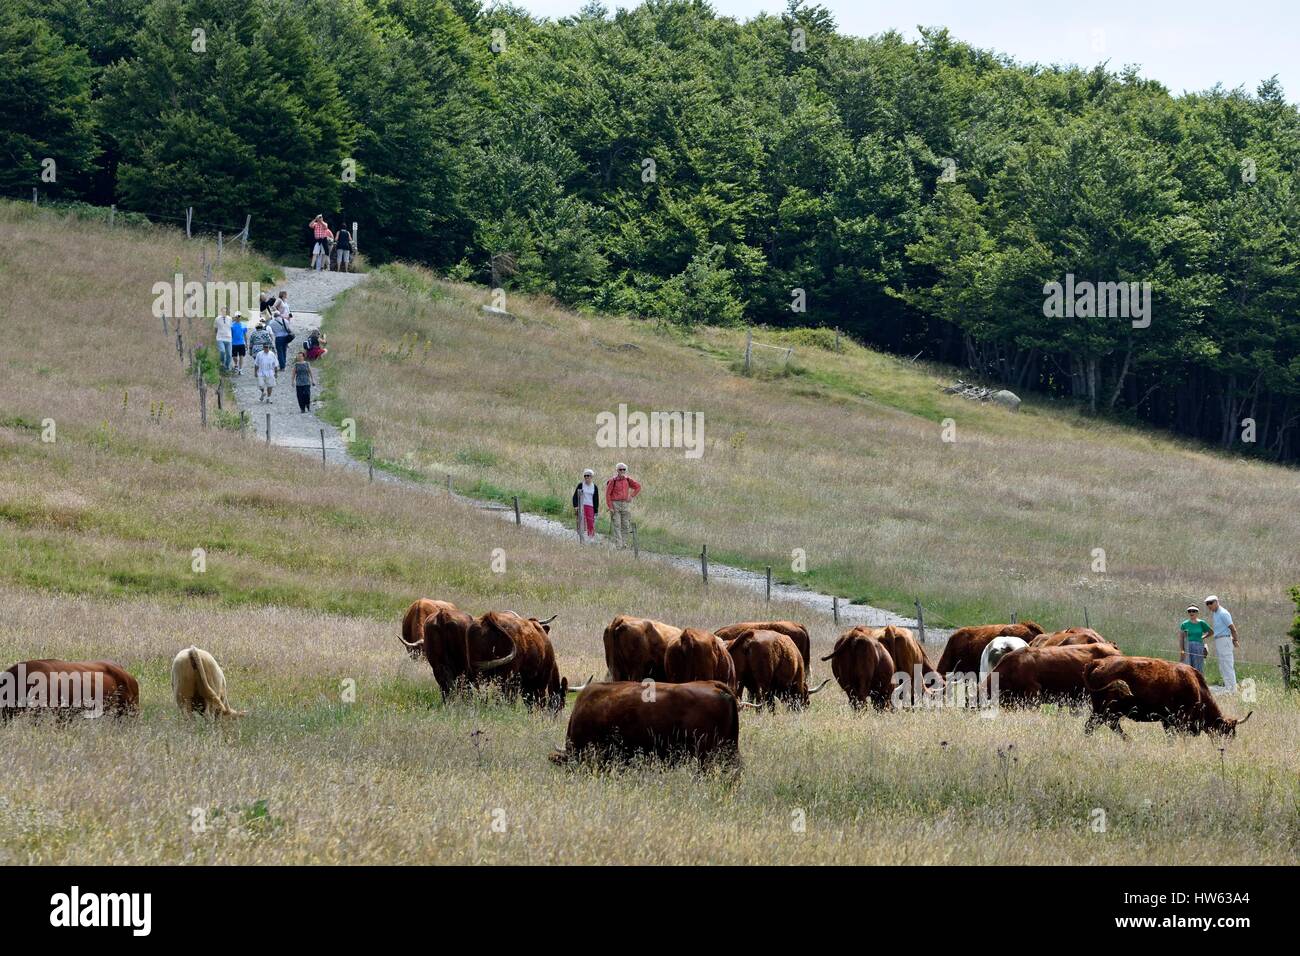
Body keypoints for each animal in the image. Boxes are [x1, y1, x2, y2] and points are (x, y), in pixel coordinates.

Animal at [1084, 657, 1252, 738]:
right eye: (1228, 733)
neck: (1197, 687)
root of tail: (1097, 662)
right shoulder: (1179, 722)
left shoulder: (1167, 722)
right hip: (1105, 710)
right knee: (1093, 726)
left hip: (1107, 712)